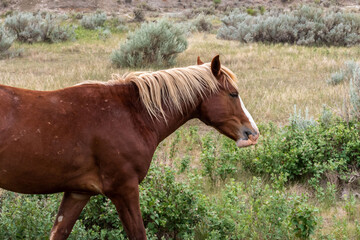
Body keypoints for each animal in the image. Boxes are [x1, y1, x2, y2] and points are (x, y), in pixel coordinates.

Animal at [0, 55, 258, 239]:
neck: (132, 115)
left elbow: (59, 231)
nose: (252, 133)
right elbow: (138, 233)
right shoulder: (124, 189)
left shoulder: (78, 193)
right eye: (233, 94)